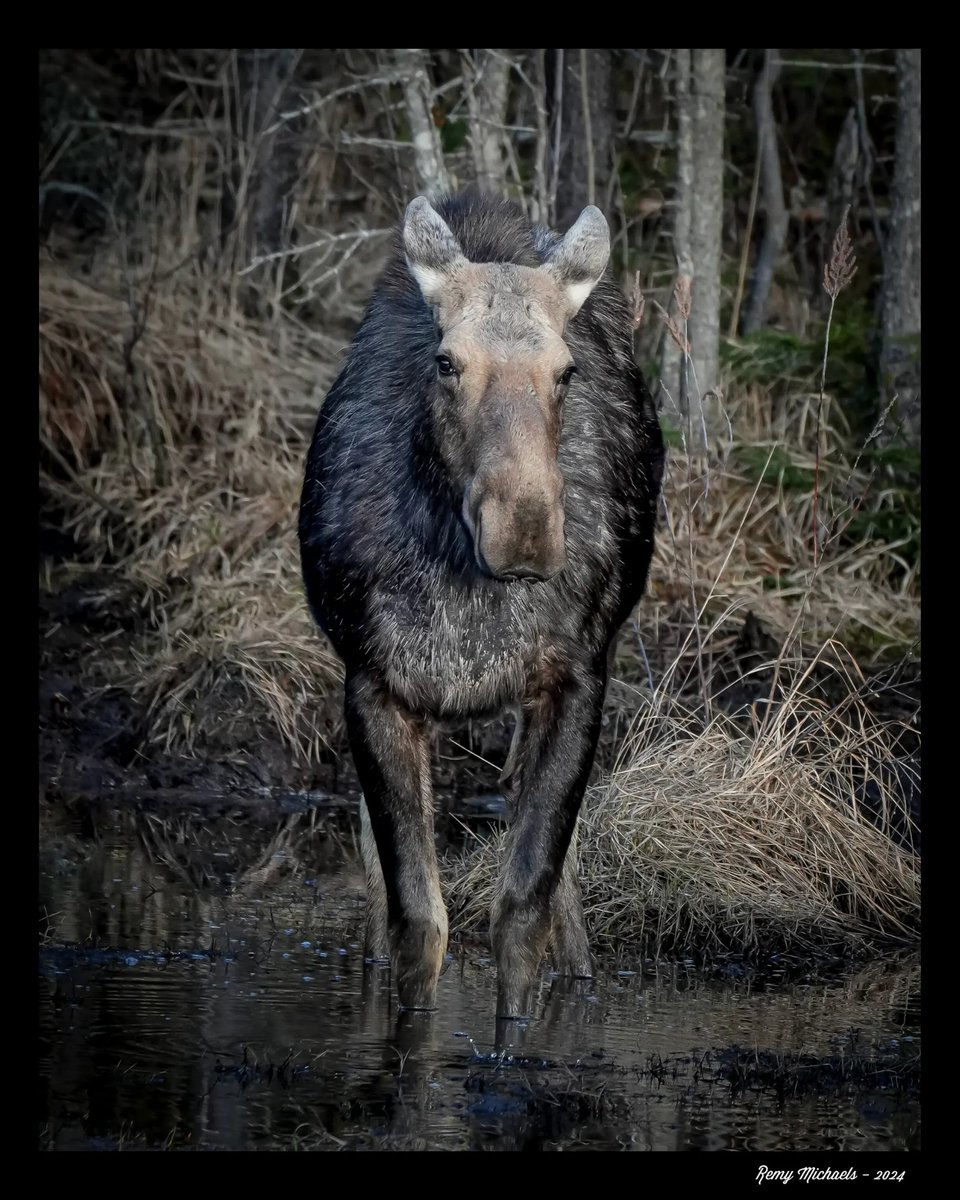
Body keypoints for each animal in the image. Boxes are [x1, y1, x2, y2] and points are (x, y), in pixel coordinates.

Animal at [302, 192, 667, 1017]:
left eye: (566, 370)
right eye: (448, 362)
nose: (524, 526)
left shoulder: (577, 680)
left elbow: (521, 911)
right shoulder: (374, 685)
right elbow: (417, 918)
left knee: (559, 884)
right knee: (373, 873)